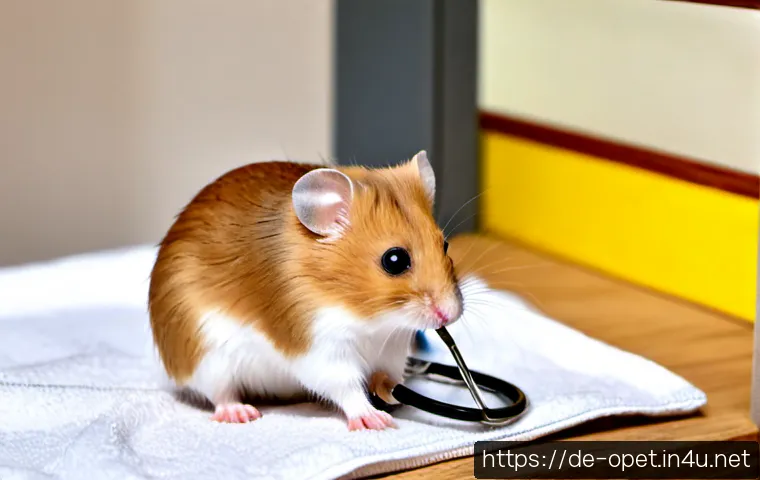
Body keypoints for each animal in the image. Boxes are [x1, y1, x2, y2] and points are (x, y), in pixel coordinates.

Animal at [148, 151, 464, 430]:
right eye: (394, 260)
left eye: (445, 245)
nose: (450, 315)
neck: (371, 321)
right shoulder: (320, 348)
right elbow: (347, 388)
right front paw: (375, 421)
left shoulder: (392, 350)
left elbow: (386, 380)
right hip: (208, 359)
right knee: (220, 394)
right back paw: (242, 413)